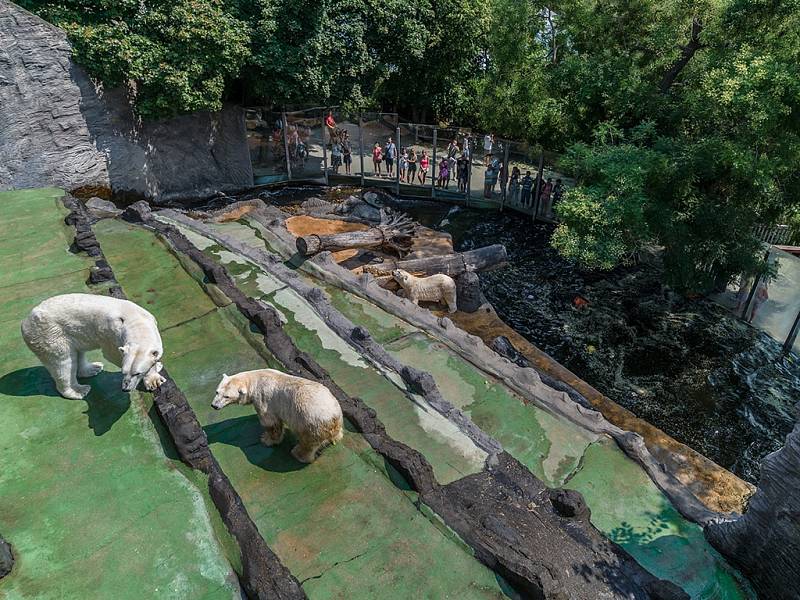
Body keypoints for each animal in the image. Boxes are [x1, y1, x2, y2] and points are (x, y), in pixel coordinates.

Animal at [22, 292, 166, 398]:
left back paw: (93, 368)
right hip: (49, 334)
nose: (125, 388)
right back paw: (79, 391)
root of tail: (24, 322)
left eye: (137, 373)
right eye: (124, 372)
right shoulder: (111, 337)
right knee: (63, 362)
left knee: (77, 353)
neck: (136, 322)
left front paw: (155, 373)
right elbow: (112, 355)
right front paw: (154, 375)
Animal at [211, 366, 342, 464]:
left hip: (310, 422)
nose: (214, 405)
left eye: (226, 396)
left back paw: (298, 454)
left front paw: (266, 439)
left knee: (308, 443)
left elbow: (270, 422)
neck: (255, 380)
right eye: (217, 392)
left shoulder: (264, 399)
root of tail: (333, 418)